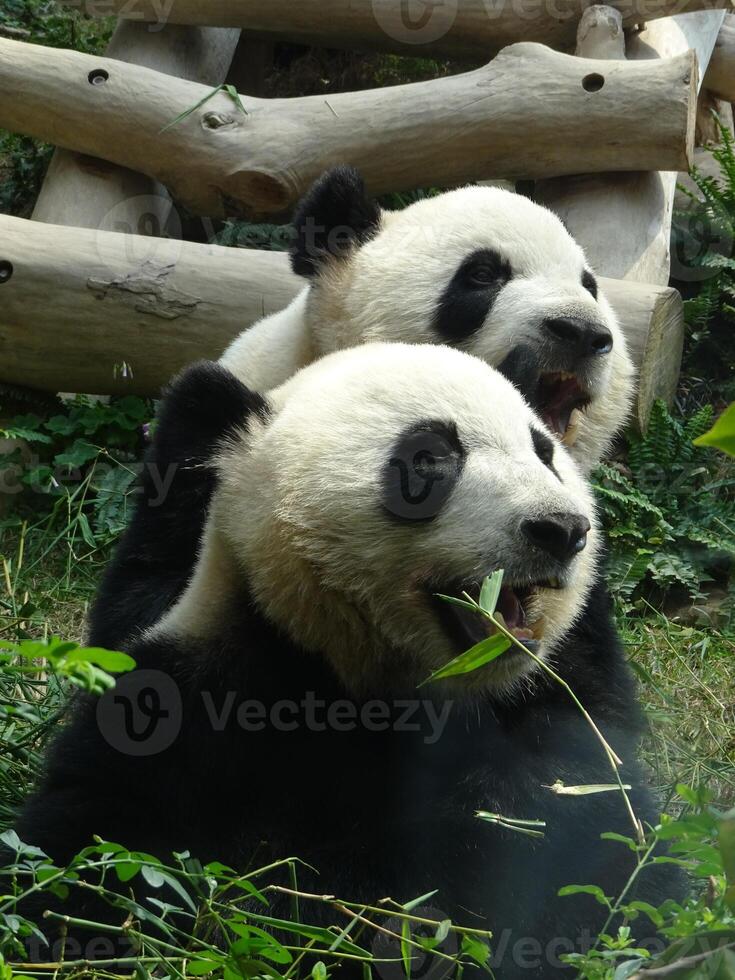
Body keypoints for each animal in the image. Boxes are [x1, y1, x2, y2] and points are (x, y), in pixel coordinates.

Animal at [17, 344, 684, 972]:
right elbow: (97, 837)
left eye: (544, 453)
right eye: (429, 458)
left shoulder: (557, 703)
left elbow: (595, 843)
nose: (560, 528)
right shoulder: (207, 695)